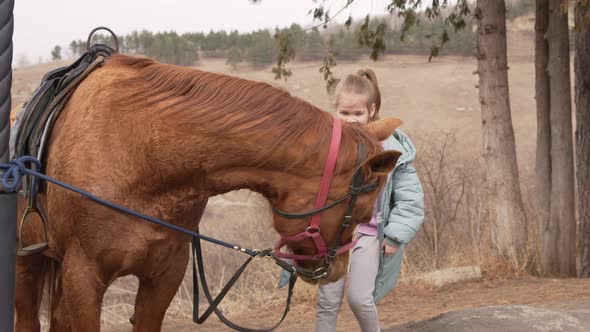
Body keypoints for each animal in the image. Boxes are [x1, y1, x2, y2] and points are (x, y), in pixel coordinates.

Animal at [15, 54, 402, 332]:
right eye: (361, 211)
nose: (335, 271)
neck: (140, 150)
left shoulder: (164, 276)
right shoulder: (84, 278)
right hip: (28, 261)